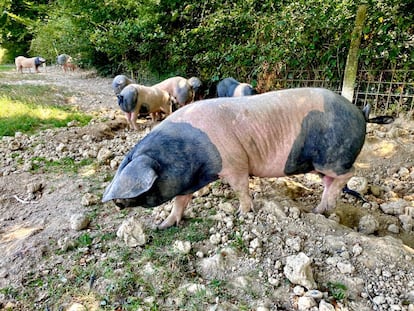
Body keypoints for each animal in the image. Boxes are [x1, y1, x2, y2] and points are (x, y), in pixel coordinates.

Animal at [102, 88, 392, 229]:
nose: (116, 202)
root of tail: (360, 112)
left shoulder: (234, 163)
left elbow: (241, 187)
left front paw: (243, 213)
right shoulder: (186, 181)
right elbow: (180, 202)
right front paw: (162, 226)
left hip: (333, 156)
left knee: (348, 173)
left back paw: (323, 209)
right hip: (319, 163)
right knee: (330, 181)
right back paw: (319, 210)